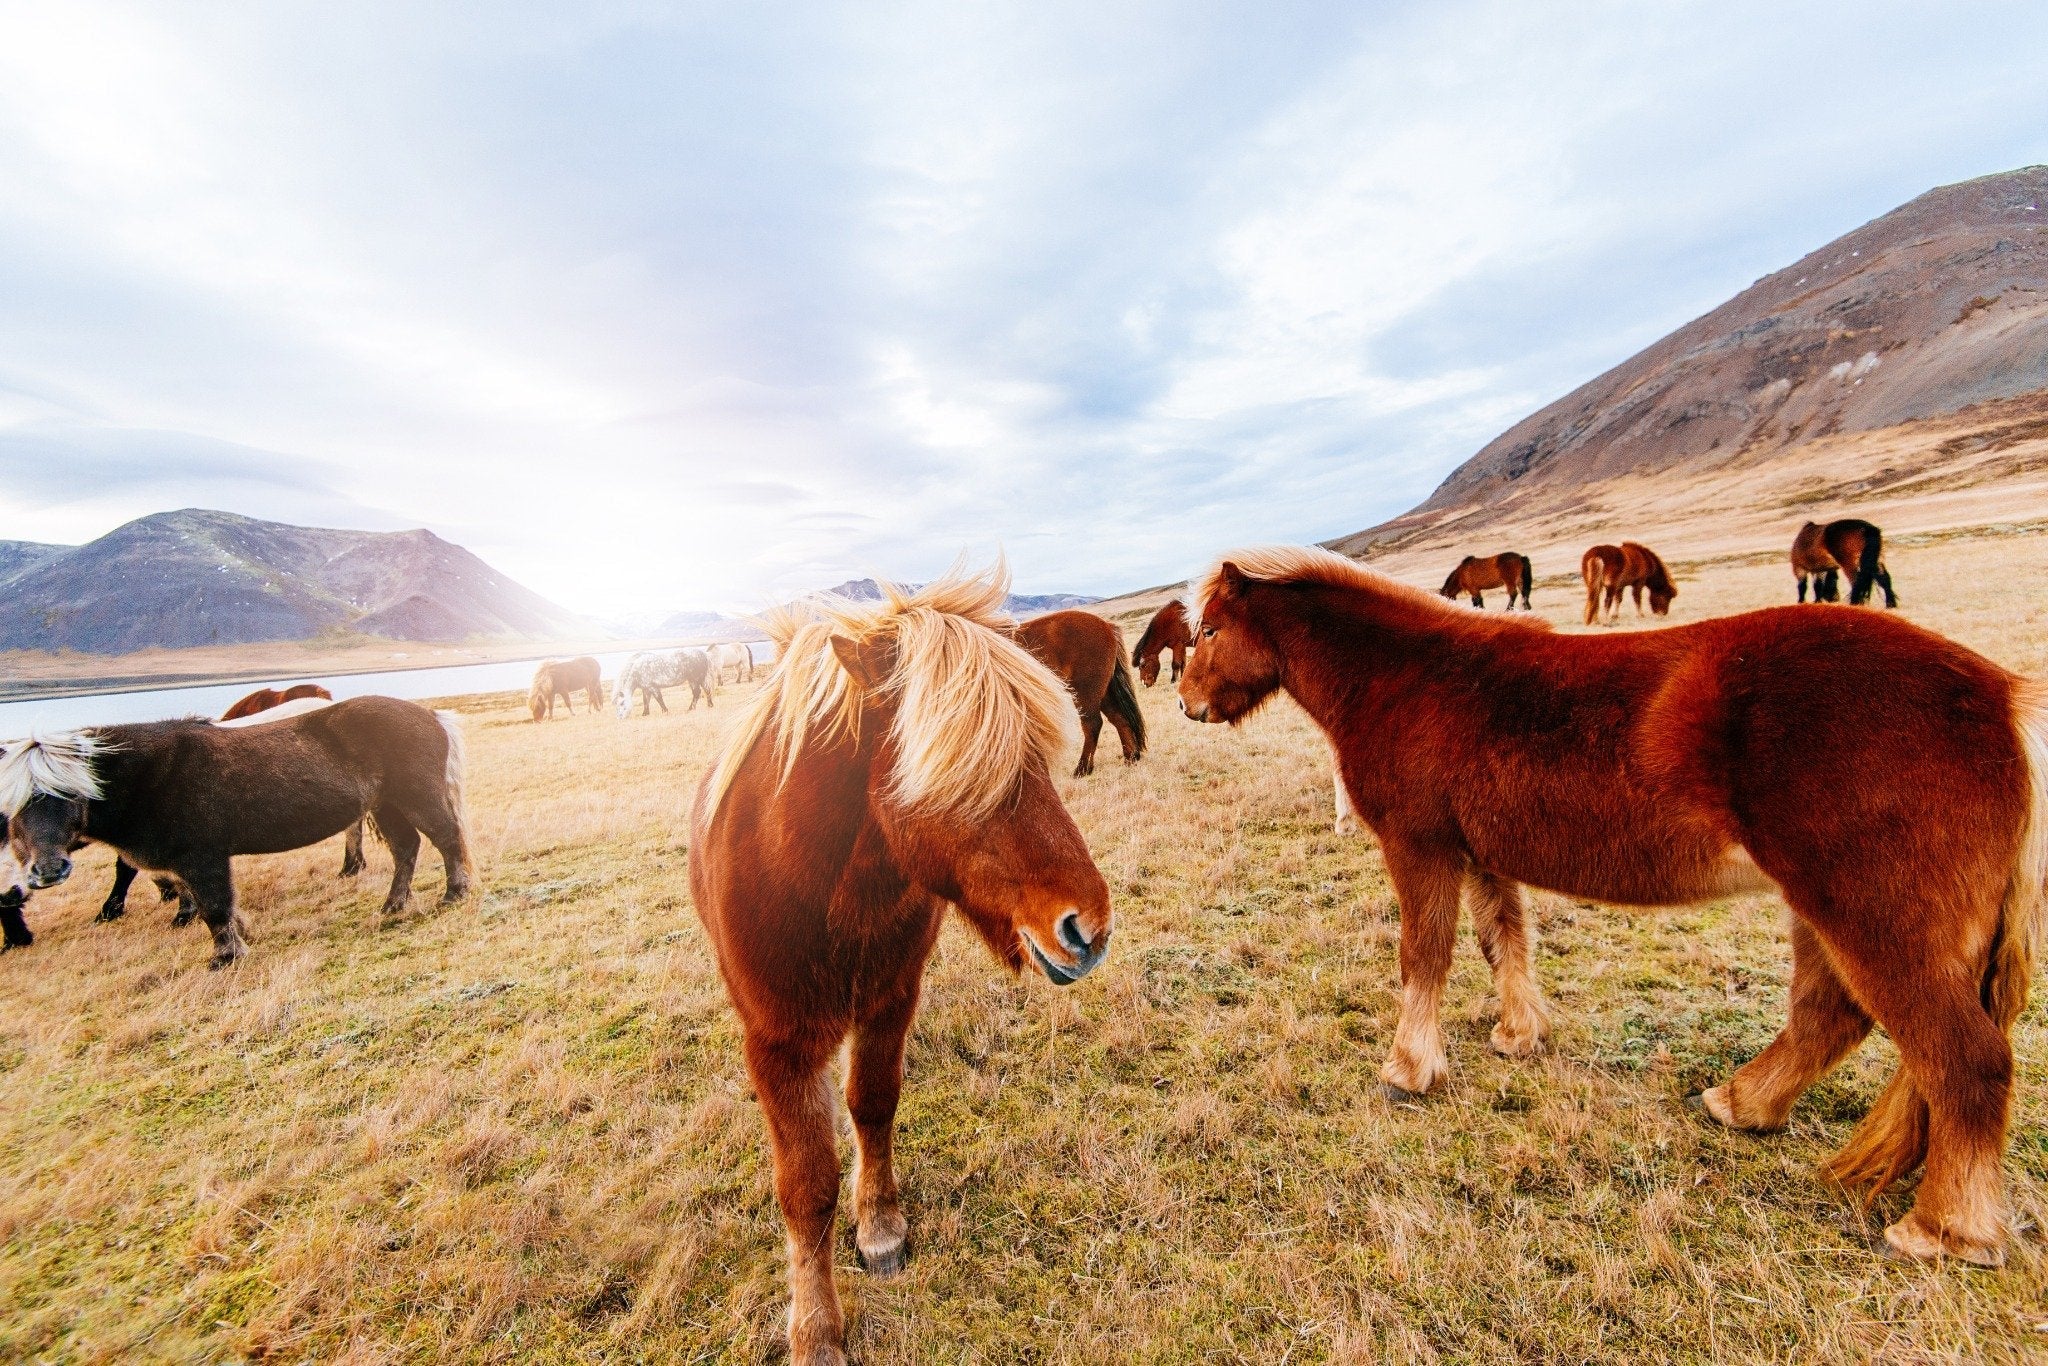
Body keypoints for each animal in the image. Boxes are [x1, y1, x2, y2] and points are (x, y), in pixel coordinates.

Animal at [2, 696, 473, 967]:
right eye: (10, 806)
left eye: (67, 793)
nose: (47, 872)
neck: (150, 778)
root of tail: (430, 714)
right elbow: (216, 905)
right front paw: (241, 935)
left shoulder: (201, 857)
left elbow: (213, 906)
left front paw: (226, 957)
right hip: (387, 805)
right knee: (406, 849)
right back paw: (393, 906)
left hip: (416, 796)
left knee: (446, 838)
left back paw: (454, 894)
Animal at [689, 565, 1111, 1365]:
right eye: (958, 770)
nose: (1090, 929)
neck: (822, 886)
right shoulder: (778, 1045)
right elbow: (806, 1187)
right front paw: (815, 1331)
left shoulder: (890, 1001)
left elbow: (873, 1107)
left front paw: (880, 1227)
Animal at [1013, 609, 1146, 776]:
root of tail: (1107, 626)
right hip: (1103, 694)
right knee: (1119, 719)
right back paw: (1130, 758)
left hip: (1085, 692)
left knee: (1093, 724)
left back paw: (1082, 769)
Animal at [1178, 544, 2048, 1266]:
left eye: (1211, 629)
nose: (1186, 704)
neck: (1403, 676)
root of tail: (2004, 701)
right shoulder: (1480, 856)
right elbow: (1503, 940)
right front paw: (1518, 1035)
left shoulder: (1420, 848)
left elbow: (1425, 955)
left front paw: (1408, 1069)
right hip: (1828, 913)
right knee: (1827, 1017)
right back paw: (1741, 1104)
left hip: (1872, 919)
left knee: (1963, 1059)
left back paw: (1944, 1231)